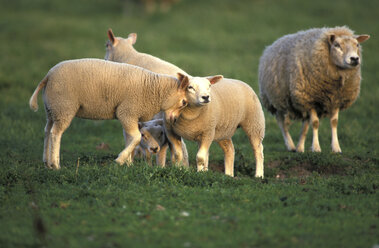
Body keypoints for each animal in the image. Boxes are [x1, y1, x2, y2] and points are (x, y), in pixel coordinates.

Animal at [29, 59, 189, 170]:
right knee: (56, 133)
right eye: (183, 102)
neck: (155, 89)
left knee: (47, 131)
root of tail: (48, 76)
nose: (175, 120)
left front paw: (128, 164)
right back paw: (55, 164)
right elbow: (136, 137)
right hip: (64, 107)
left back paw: (47, 162)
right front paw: (120, 160)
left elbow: (130, 138)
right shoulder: (127, 111)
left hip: (52, 109)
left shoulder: (130, 115)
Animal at [260, 25, 370, 153]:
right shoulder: (310, 99)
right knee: (282, 123)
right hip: (277, 100)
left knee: (304, 124)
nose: (354, 59)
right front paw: (316, 148)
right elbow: (315, 123)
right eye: (337, 45)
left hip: (299, 103)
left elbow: (334, 123)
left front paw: (336, 147)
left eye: (357, 45)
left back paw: (300, 148)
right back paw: (290, 145)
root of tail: (272, 45)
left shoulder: (336, 100)